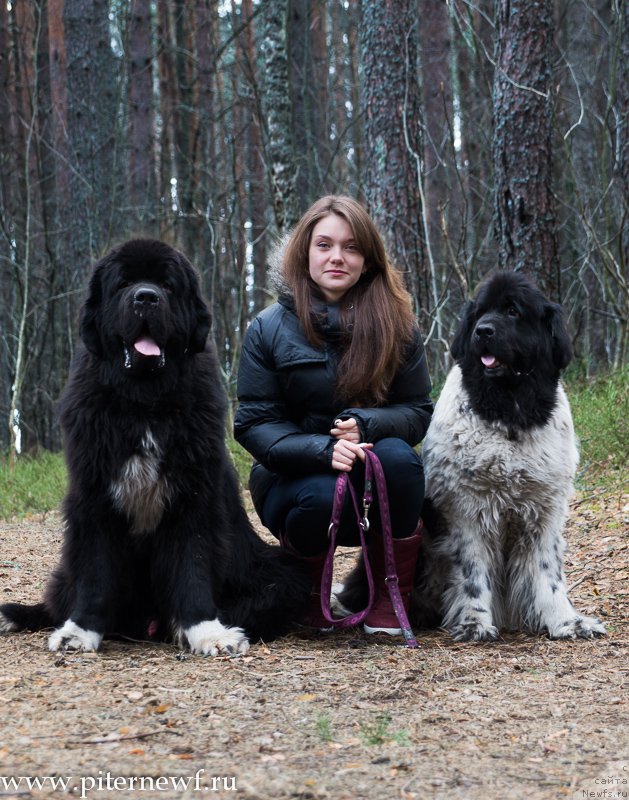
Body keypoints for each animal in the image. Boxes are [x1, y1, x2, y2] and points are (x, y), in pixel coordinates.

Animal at [0, 238, 310, 656]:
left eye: (166, 285)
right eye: (123, 283)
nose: (146, 297)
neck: (144, 404)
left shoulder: (193, 497)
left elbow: (192, 565)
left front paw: (207, 632)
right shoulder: (94, 498)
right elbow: (95, 572)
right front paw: (80, 631)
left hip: (280, 573)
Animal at [410, 272, 604, 640]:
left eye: (513, 311)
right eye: (479, 312)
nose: (482, 331)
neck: (510, 413)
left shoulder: (544, 511)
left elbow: (547, 571)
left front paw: (566, 621)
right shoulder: (467, 511)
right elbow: (472, 573)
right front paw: (474, 622)